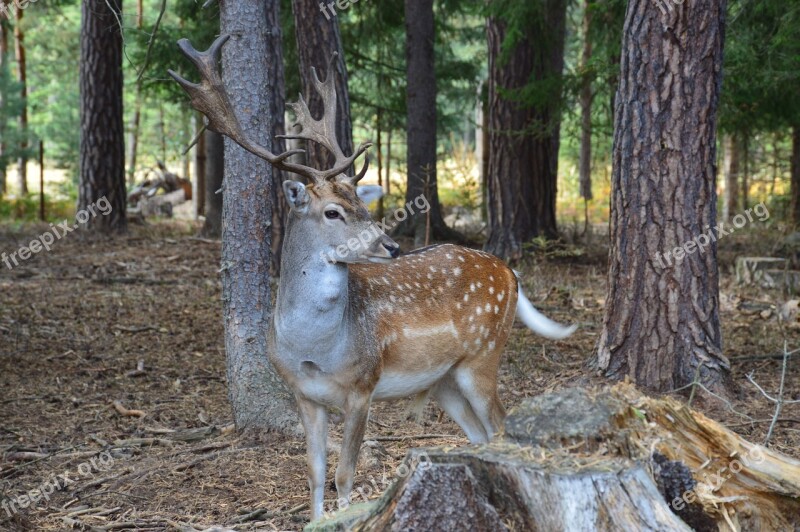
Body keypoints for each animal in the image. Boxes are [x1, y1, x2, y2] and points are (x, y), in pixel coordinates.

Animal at [172, 36, 580, 520]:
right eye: (333, 211)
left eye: (363, 206)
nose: (391, 246)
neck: (315, 350)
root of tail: (509, 271)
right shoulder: (304, 395)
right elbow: (314, 474)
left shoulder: (363, 386)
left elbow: (345, 475)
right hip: (443, 380)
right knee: (480, 436)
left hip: (484, 354)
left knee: (500, 426)